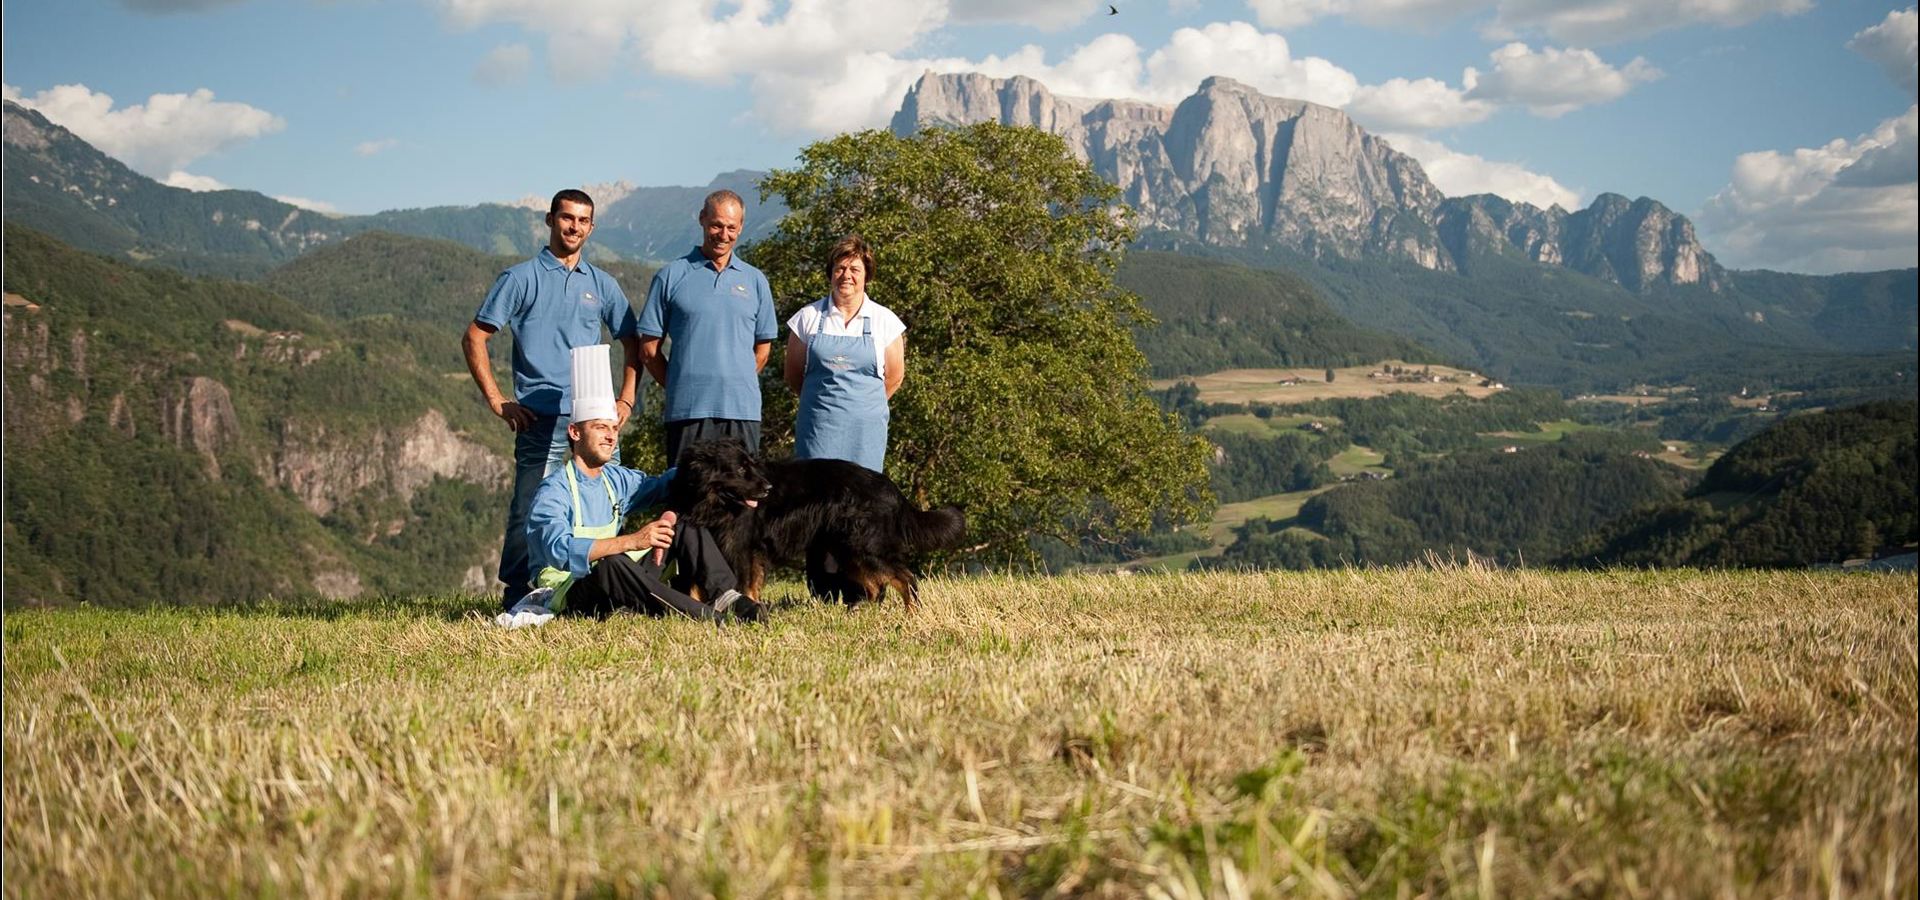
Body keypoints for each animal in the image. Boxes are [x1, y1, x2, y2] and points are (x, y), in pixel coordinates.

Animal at [668, 439, 967, 606]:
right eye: (741, 469)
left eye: (751, 465)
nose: (768, 488)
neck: (714, 502)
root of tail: (891, 488)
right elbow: (694, 582)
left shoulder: (742, 548)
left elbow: (743, 584)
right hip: (846, 549)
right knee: (875, 585)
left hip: (864, 546)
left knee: (905, 578)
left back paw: (911, 613)